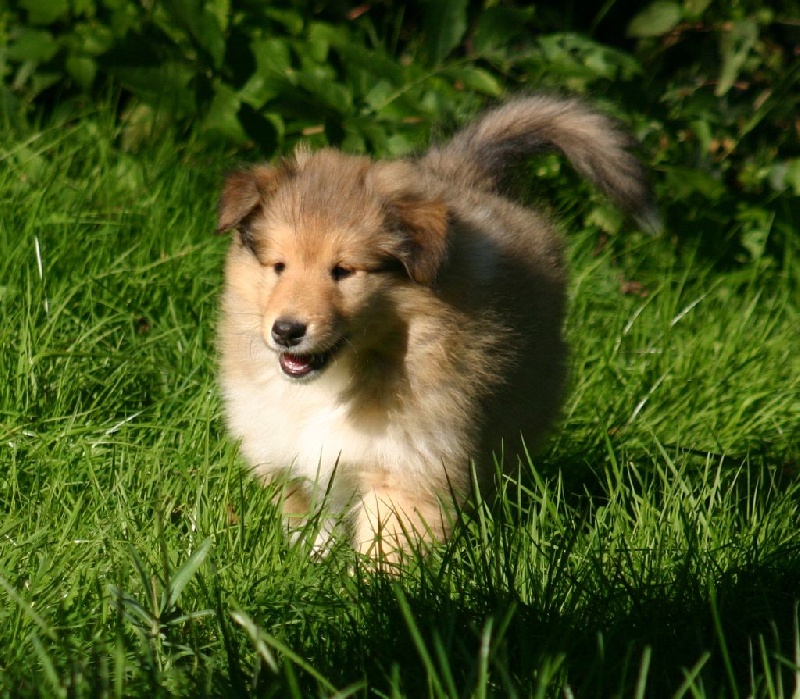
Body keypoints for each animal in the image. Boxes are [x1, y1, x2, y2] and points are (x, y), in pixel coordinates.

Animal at [216, 94, 658, 562]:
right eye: (278, 266)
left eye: (344, 271)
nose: (286, 331)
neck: (337, 379)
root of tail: (463, 174)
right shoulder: (293, 460)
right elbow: (312, 528)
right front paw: (313, 566)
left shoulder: (410, 466)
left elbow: (386, 548)